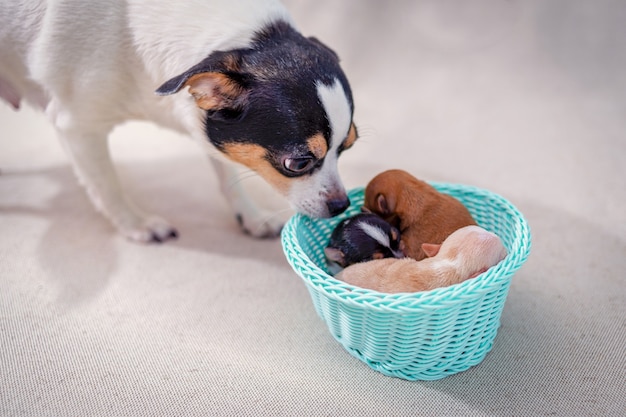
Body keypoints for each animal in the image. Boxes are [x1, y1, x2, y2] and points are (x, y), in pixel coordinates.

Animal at [0, 0, 356, 240]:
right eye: (298, 163)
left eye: (346, 149)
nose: (341, 205)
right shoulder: (77, 127)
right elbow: (106, 185)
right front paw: (136, 224)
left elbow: (226, 172)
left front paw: (251, 216)